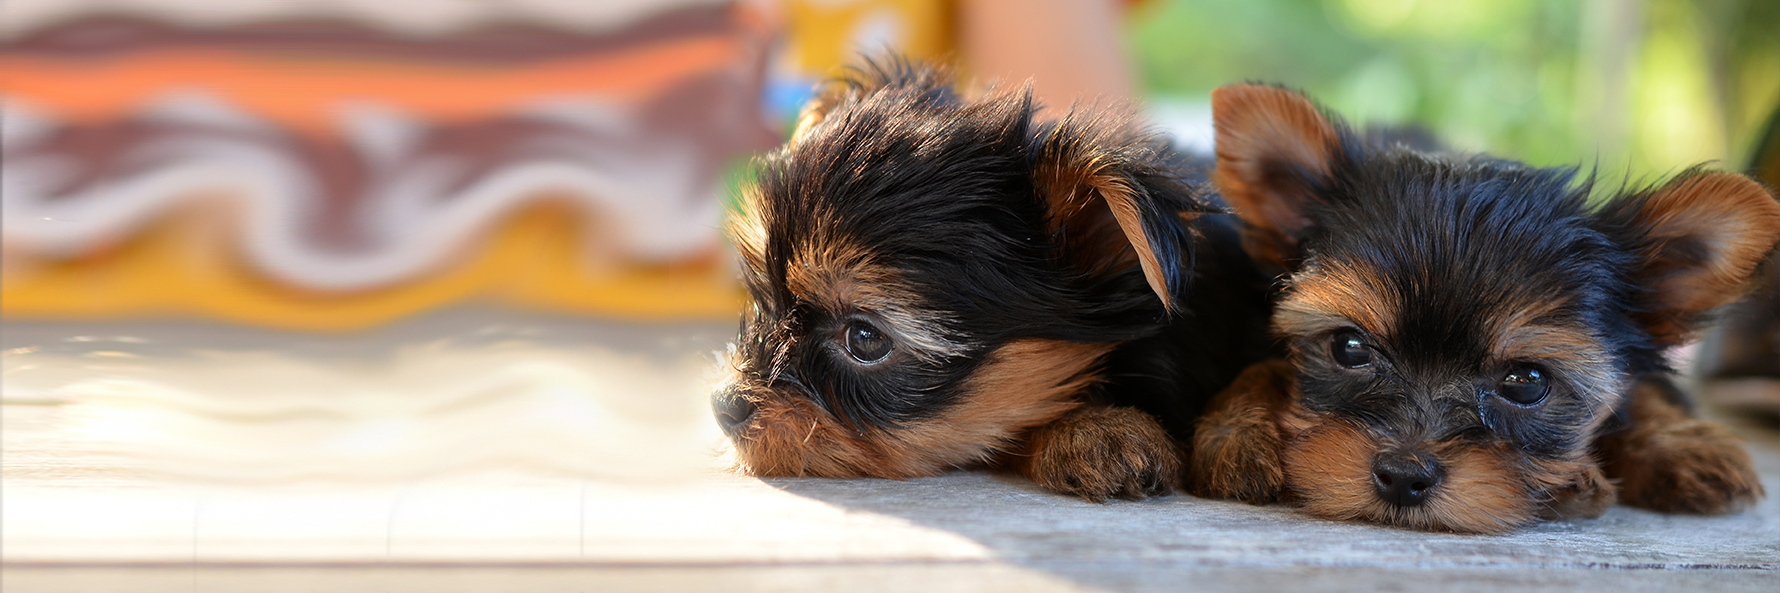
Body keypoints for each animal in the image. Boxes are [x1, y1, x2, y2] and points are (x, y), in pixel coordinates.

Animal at [701, 60, 1274, 498]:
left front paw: (1241, 436)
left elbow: (1264, 369)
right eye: (764, 297)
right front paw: (1101, 430)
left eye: (863, 338)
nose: (724, 406)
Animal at [1189, 83, 1780, 530]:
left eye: (1526, 382)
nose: (1403, 475)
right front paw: (1239, 433)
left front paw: (1685, 448)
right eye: (1349, 347)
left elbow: (1646, 387)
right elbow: (1259, 367)